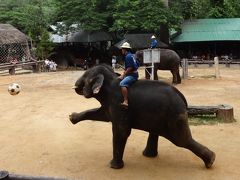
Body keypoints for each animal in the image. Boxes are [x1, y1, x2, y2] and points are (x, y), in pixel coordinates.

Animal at [69, 64, 216, 169]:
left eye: (85, 75)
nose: (75, 86)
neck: (111, 80)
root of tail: (183, 99)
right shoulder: (110, 104)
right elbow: (101, 114)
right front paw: (72, 118)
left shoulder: (120, 105)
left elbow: (121, 131)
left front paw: (114, 166)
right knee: (158, 133)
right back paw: (148, 155)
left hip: (175, 115)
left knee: (182, 140)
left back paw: (211, 160)